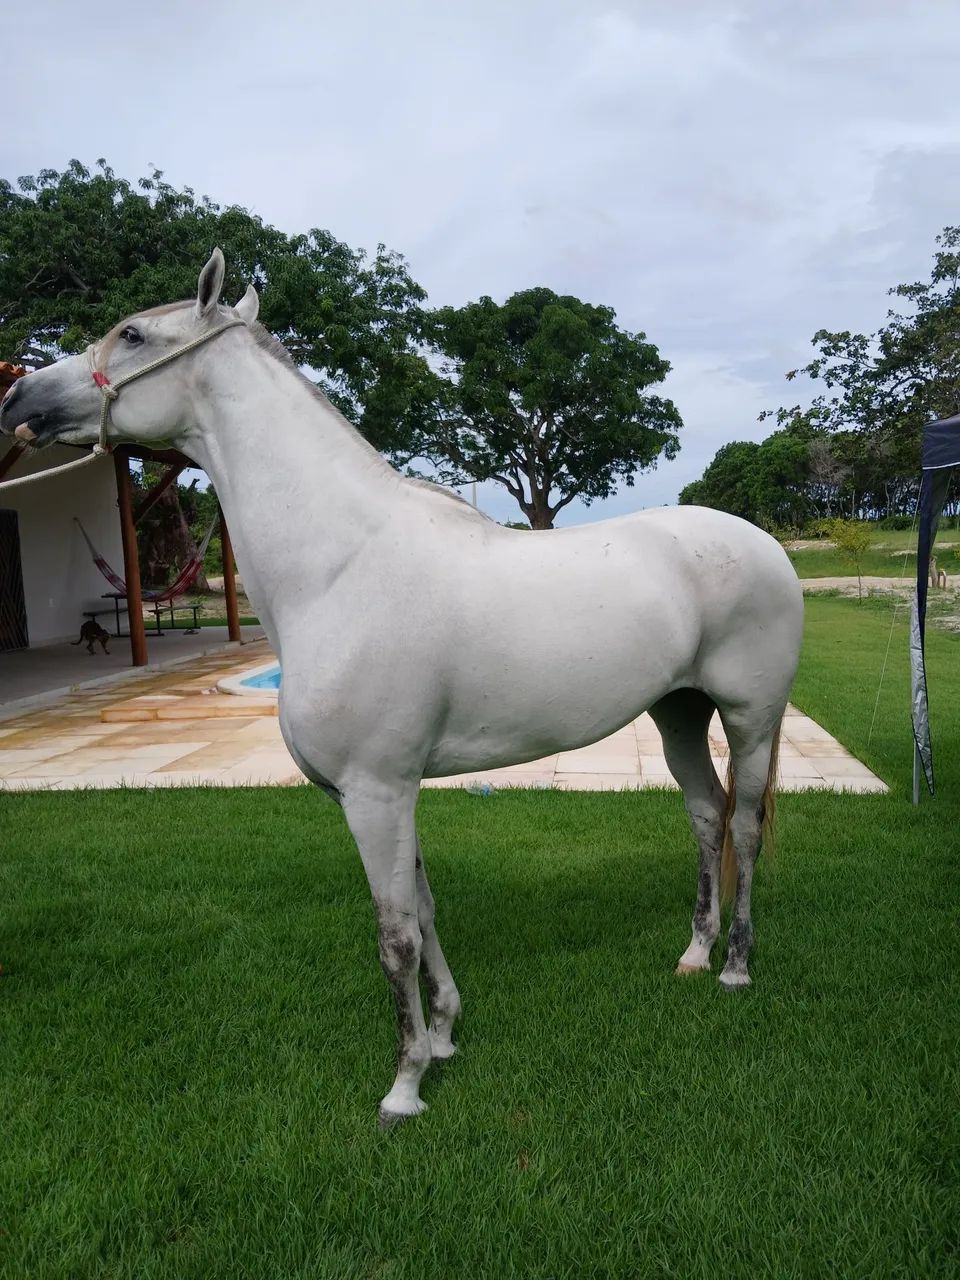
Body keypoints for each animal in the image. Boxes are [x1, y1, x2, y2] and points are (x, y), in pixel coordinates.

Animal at [0, 250, 804, 1126]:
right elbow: (424, 908)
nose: (18, 398)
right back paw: (693, 953)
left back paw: (736, 966)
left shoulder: (375, 792)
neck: (341, 565)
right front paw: (447, 1034)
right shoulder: (392, 790)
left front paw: (406, 1083)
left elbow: (396, 936)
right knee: (705, 815)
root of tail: (764, 543)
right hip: (677, 714)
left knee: (746, 826)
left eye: (134, 334)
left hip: (751, 716)